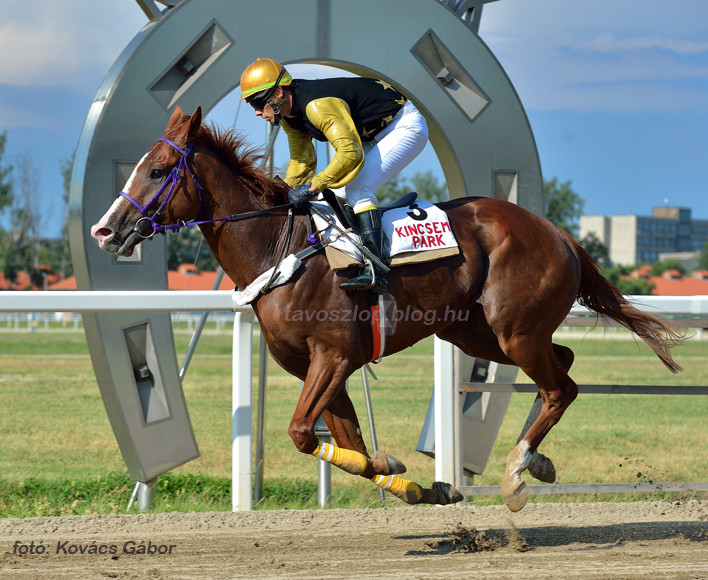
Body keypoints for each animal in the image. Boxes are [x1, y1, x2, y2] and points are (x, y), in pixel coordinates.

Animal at [91, 105, 684, 512]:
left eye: (158, 169)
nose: (104, 230)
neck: (280, 250)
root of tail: (560, 235)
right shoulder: (320, 368)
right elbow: (347, 444)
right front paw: (418, 484)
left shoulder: (333, 356)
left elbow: (303, 433)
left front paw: (402, 470)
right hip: (477, 333)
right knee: (564, 367)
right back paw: (535, 458)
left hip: (513, 330)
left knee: (559, 385)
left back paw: (518, 469)